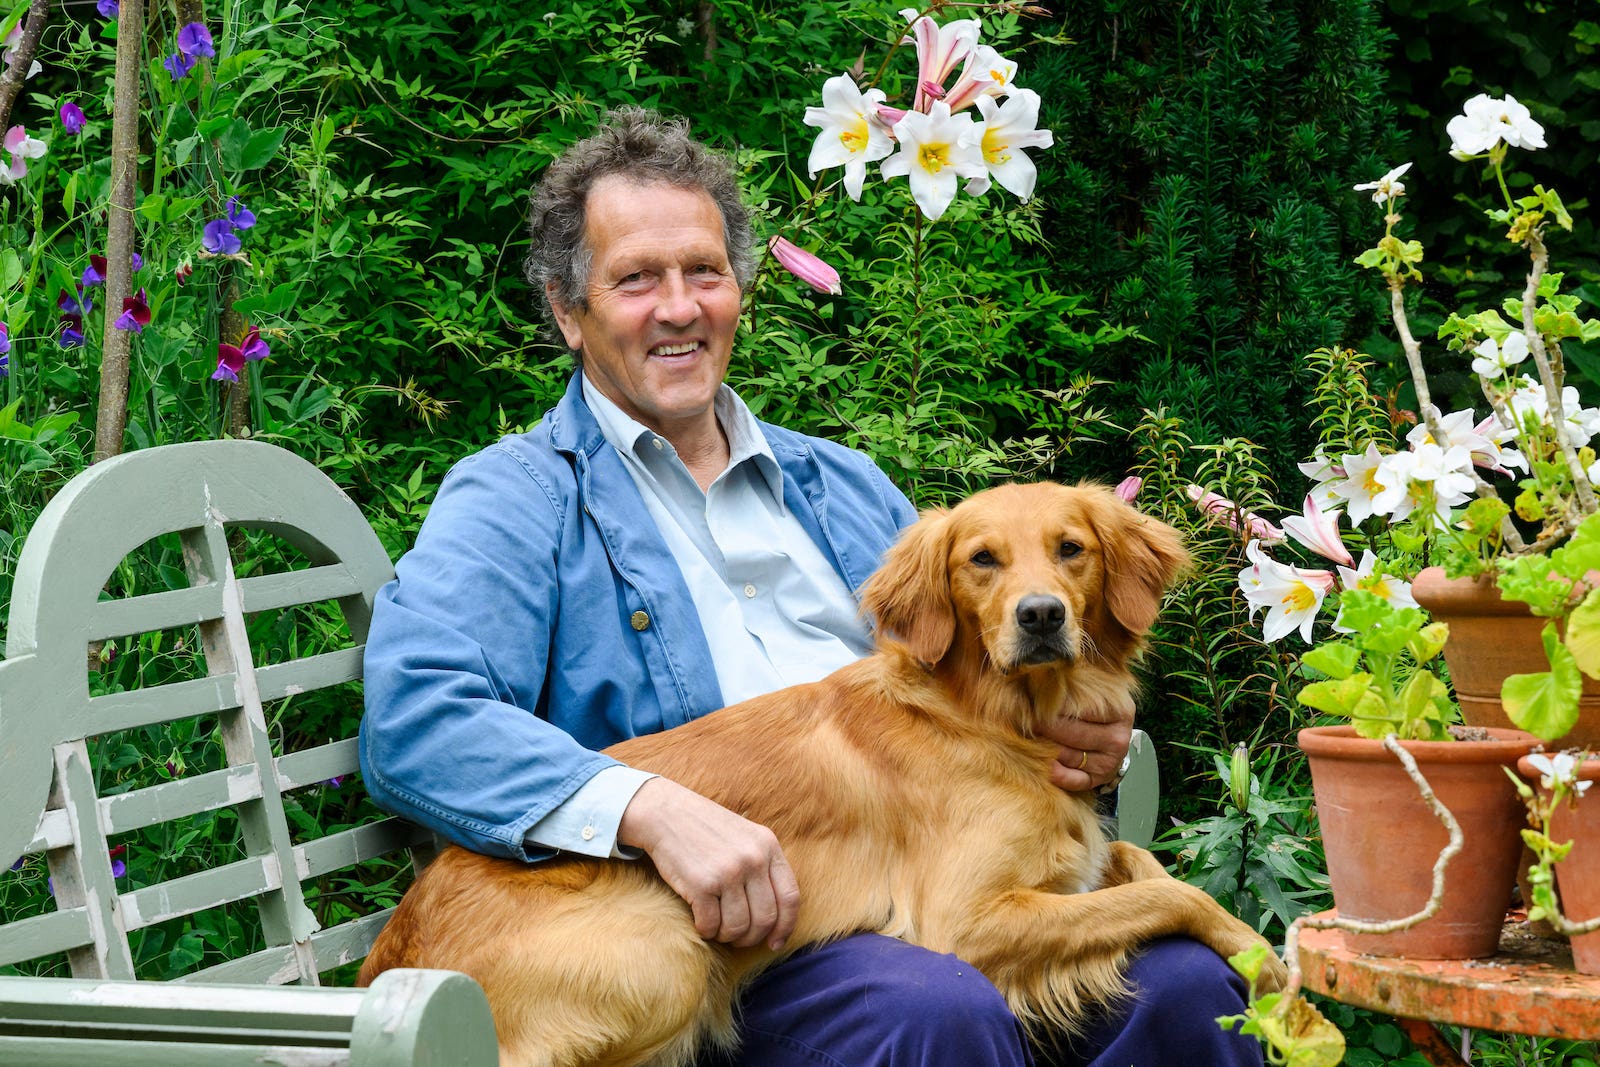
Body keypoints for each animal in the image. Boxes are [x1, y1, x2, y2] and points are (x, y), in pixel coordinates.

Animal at [363, 486, 1286, 1067]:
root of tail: (384, 969)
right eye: (982, 560)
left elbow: (1141, 865)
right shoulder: (965, 919)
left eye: (1072, 550)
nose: (1040, 615)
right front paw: (1268, 965)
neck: (996, 719)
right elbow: (1171, 893)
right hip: (669, 950)